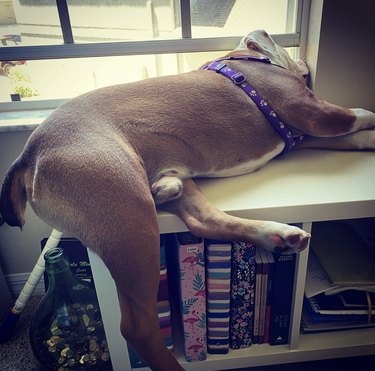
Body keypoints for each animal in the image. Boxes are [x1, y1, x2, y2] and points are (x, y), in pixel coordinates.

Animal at [2, 30, 375, 370]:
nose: (303, 63)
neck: (243, 58)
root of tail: (27, 155)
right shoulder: (314, 113)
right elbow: (360, 113)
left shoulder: (306, 135)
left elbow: (352, 137)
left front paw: (368, 140)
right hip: (129, 216)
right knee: (136, 326)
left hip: (170, 190)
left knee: (203, 219)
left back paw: (276, 233)